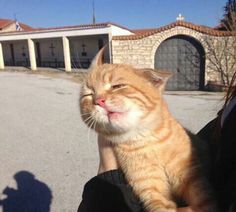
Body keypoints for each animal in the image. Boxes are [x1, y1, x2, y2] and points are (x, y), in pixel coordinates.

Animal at [79, 48, 218, 211]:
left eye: (117, 86)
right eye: (89, 95)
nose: (98, 101)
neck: (146, 139)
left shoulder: (192, 175)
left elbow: (205, 201)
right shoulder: (150, 189)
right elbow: (161, 206)